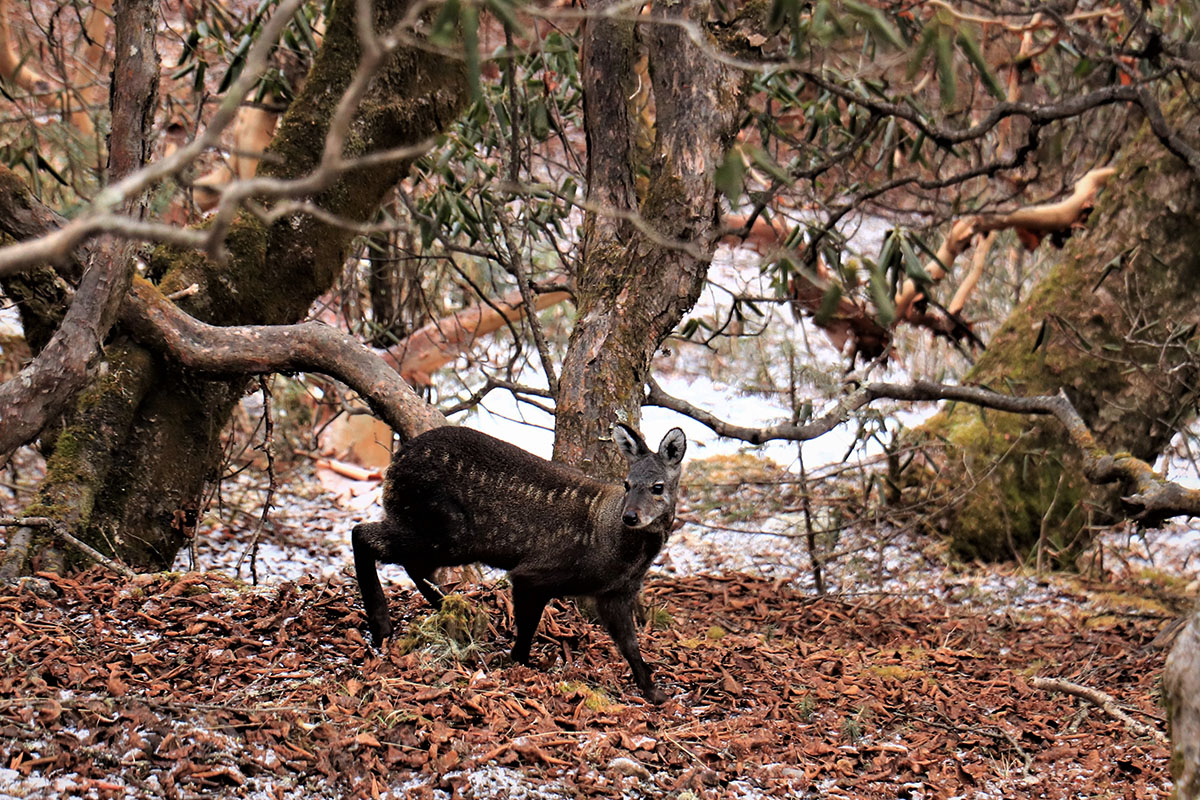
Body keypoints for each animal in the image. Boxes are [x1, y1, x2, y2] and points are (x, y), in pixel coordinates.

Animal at [350, 422, 686, 705]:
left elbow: (630, 644)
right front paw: (521, 664)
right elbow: (527, 628)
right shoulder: (535, 573)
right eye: (626, 484)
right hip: (448, 532)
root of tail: (394, 465)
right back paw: (382, 626)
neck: (612, 542)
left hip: (441, 535)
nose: (630, 516)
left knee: (413, 564)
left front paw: (654, 692)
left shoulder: (615, 594)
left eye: (657, 486)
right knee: (362, 534)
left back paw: (455, 614)